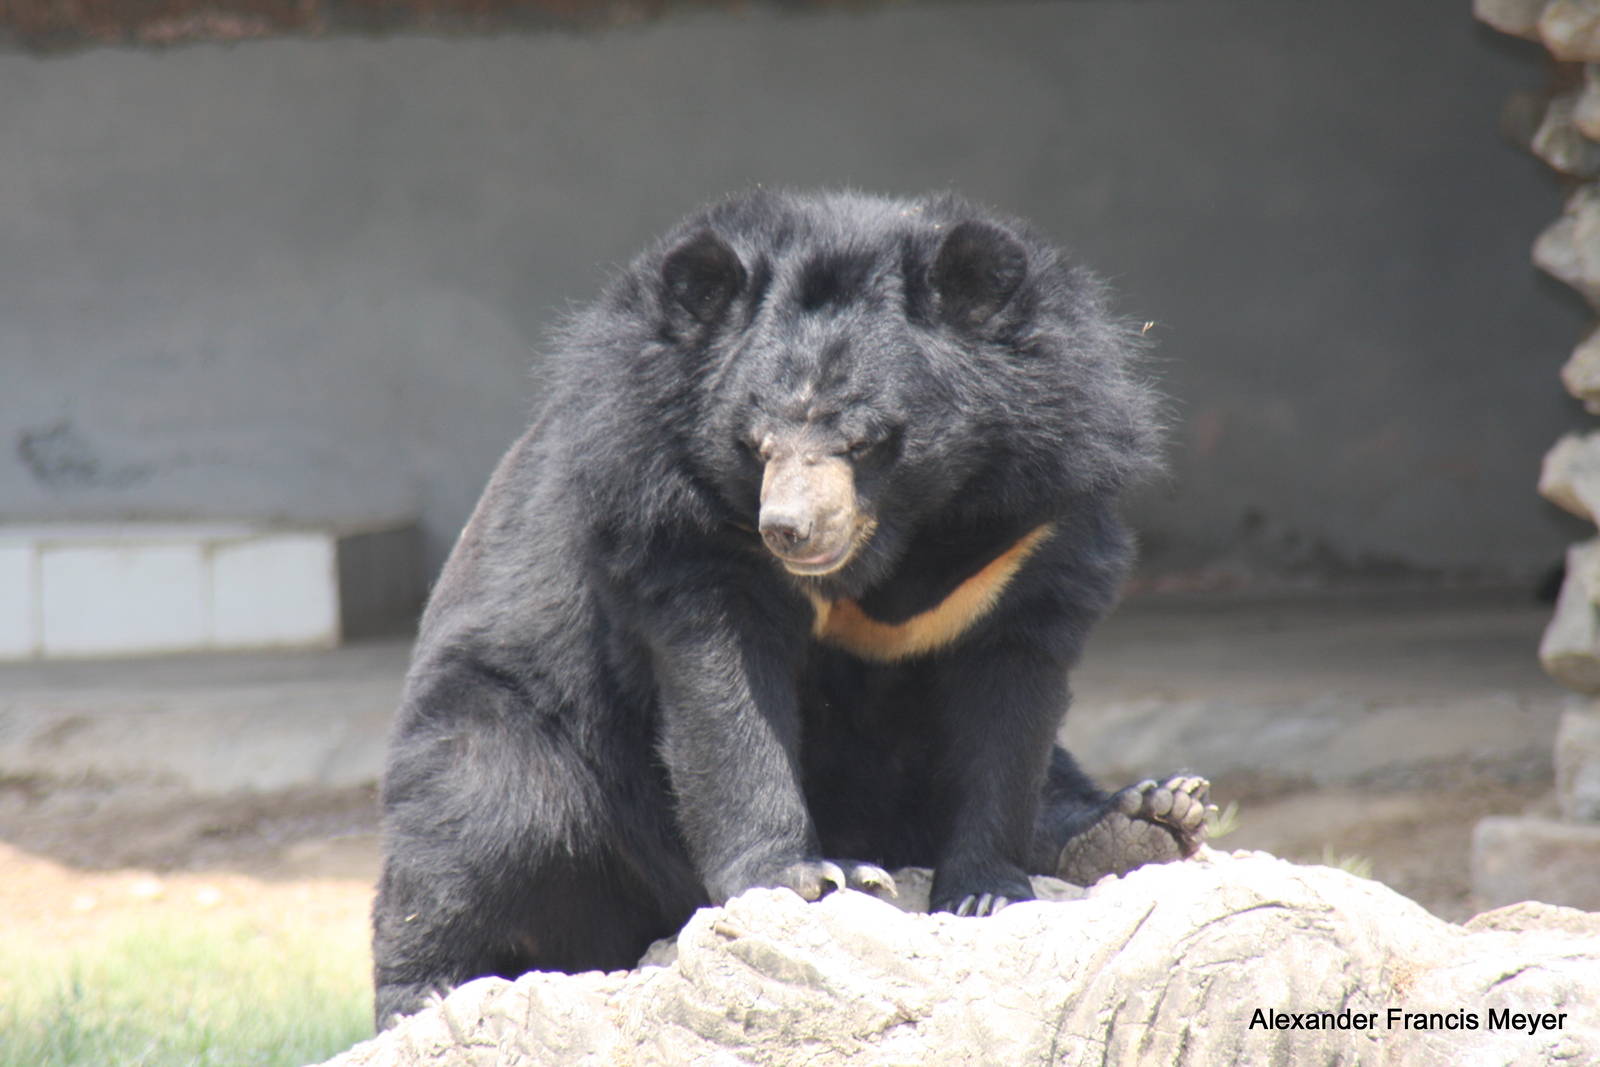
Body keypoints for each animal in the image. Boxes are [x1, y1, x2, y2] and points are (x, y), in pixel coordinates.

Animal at [371, 189, 1209, 1028]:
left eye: (864, 441)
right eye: (756, 441)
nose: (789, 528)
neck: (890, 543)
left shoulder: (1027, 529)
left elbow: (1011, 701)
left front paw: (984, 891)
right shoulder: (677, 509)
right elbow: (726, 695)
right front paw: (808, 874)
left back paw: (1147, 818)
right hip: (517, 719)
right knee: (484, 815)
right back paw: (427, 991)